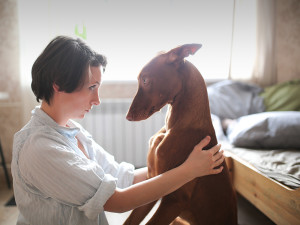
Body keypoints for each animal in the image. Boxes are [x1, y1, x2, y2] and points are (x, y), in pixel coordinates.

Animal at [124, 44, 237, 225]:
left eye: (145, 80)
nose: (128, 117)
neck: (174, 127)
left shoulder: (174, 201)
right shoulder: (151, 182)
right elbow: (130, 220)